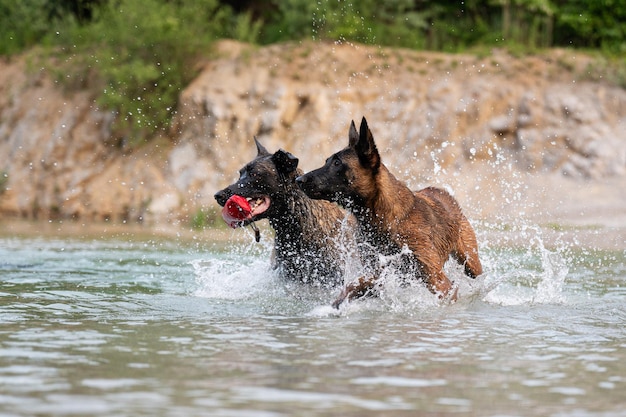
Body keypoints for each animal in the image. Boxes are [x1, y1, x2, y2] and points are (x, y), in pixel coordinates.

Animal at [294, 117, 480, 306]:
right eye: (327, 161)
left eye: (337, 163)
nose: (298, 179)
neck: (382, 218)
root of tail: (443, 192)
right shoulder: (377, 273)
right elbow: (352, 287)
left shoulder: (438, 281)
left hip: (471, 262)